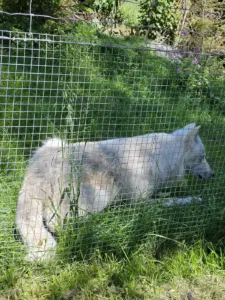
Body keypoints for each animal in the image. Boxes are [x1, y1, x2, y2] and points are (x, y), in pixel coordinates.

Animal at [15, 123, 213, 262]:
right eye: (203, 156)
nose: (213, 174)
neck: (159, 157)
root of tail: (38, 171)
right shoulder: (141, 203)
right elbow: (172, 201)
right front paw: (195, 199)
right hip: (98, 196)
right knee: (59, 223)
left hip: (55, 142)